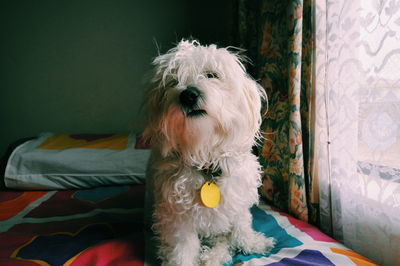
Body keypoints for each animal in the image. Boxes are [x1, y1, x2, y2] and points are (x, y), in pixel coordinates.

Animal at [144, 40, 276, 266]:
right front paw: (182, 262)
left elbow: (242, 224)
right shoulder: (177, 218)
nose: (188, 95)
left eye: (212, 75)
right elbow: (183, 248)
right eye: (172, 81)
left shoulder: (237, 199)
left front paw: (251, 242)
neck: (206, 156)